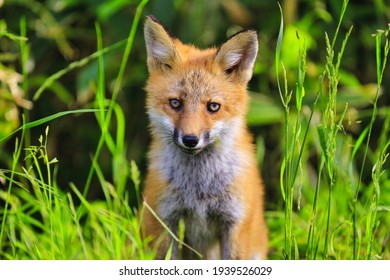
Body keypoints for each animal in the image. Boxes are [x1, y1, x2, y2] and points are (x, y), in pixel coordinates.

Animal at [141, 15, 268, 260]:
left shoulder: (235, 223)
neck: (199, 189)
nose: (190, 140)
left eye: (213, 106)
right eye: (175, 103)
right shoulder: (165, 221)